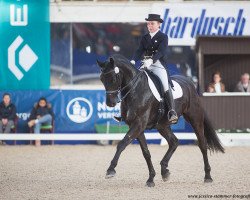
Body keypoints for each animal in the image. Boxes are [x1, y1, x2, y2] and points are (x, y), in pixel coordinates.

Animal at [96, 54, 225, 188]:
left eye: (113, 78)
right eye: (101, 79)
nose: (110, 103)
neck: (135, 89)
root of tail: (190, 82)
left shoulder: (139, 124)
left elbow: (122, 143)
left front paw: (110, 170)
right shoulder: (136, 126)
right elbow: (146, 152)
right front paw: (151, 178)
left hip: (195, 119)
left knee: (203, 144)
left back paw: (208, 176)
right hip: (162, 125)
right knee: (174, 142)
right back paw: (164, 171)